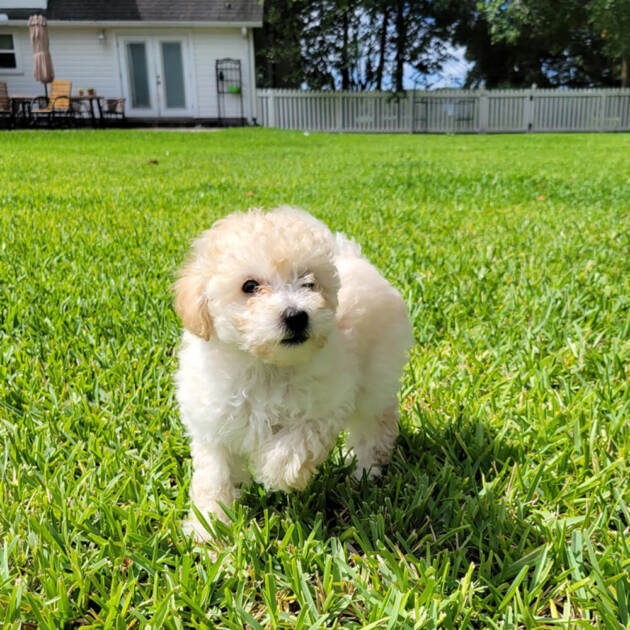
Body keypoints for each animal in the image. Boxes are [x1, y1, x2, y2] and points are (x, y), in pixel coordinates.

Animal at [174, 207, 414, 544]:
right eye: (249, 286)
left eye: (309, 283)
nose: (297, 316)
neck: (265, 365)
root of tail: (355, 259)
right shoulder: (214, 424)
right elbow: (214, 476)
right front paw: (208, 529)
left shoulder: (328, 401)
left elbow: (298, 440)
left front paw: (273, 470)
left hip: (376, 376)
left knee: (375, 423)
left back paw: (364, 469)